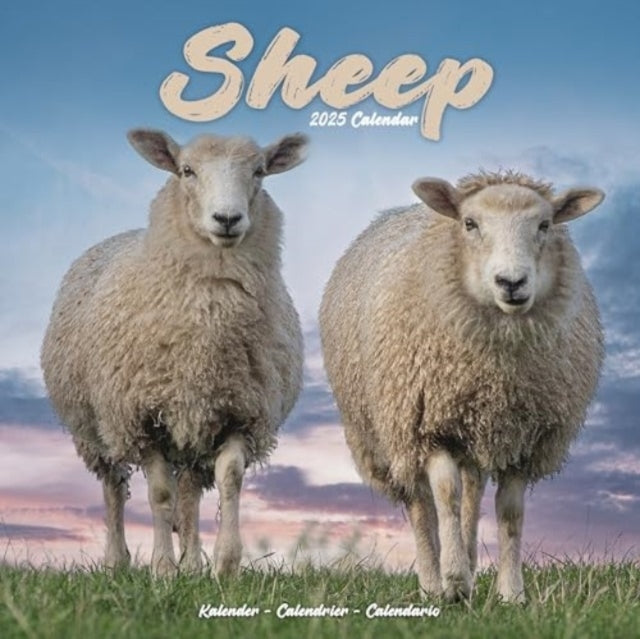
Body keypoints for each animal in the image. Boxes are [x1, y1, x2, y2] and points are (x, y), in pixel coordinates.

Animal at [41, 128, 308, 577]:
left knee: (190, 493)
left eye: (259, 171)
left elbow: (229, 480)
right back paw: (118, 562)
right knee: (114, 486)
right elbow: (160, 494)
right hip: (98, 428)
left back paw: (194, 566)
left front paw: (224, 566)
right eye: (187, 171)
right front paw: (163, 569)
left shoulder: (240, 412)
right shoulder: (142, 417)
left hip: (194, 429)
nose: (227, 219)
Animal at [319, 171, 605, 603]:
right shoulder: (431, 426)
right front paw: (452, 580)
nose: (511, 282)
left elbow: (509, 513)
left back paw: (469, 566)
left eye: (544, 225)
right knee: (421, 505)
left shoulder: (523, 437)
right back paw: (432, 581)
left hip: (474, 432)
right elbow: (446, 497)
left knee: (472, 492)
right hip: (395, 432)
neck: (496, 371)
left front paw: (510, 592)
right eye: (470, 224)